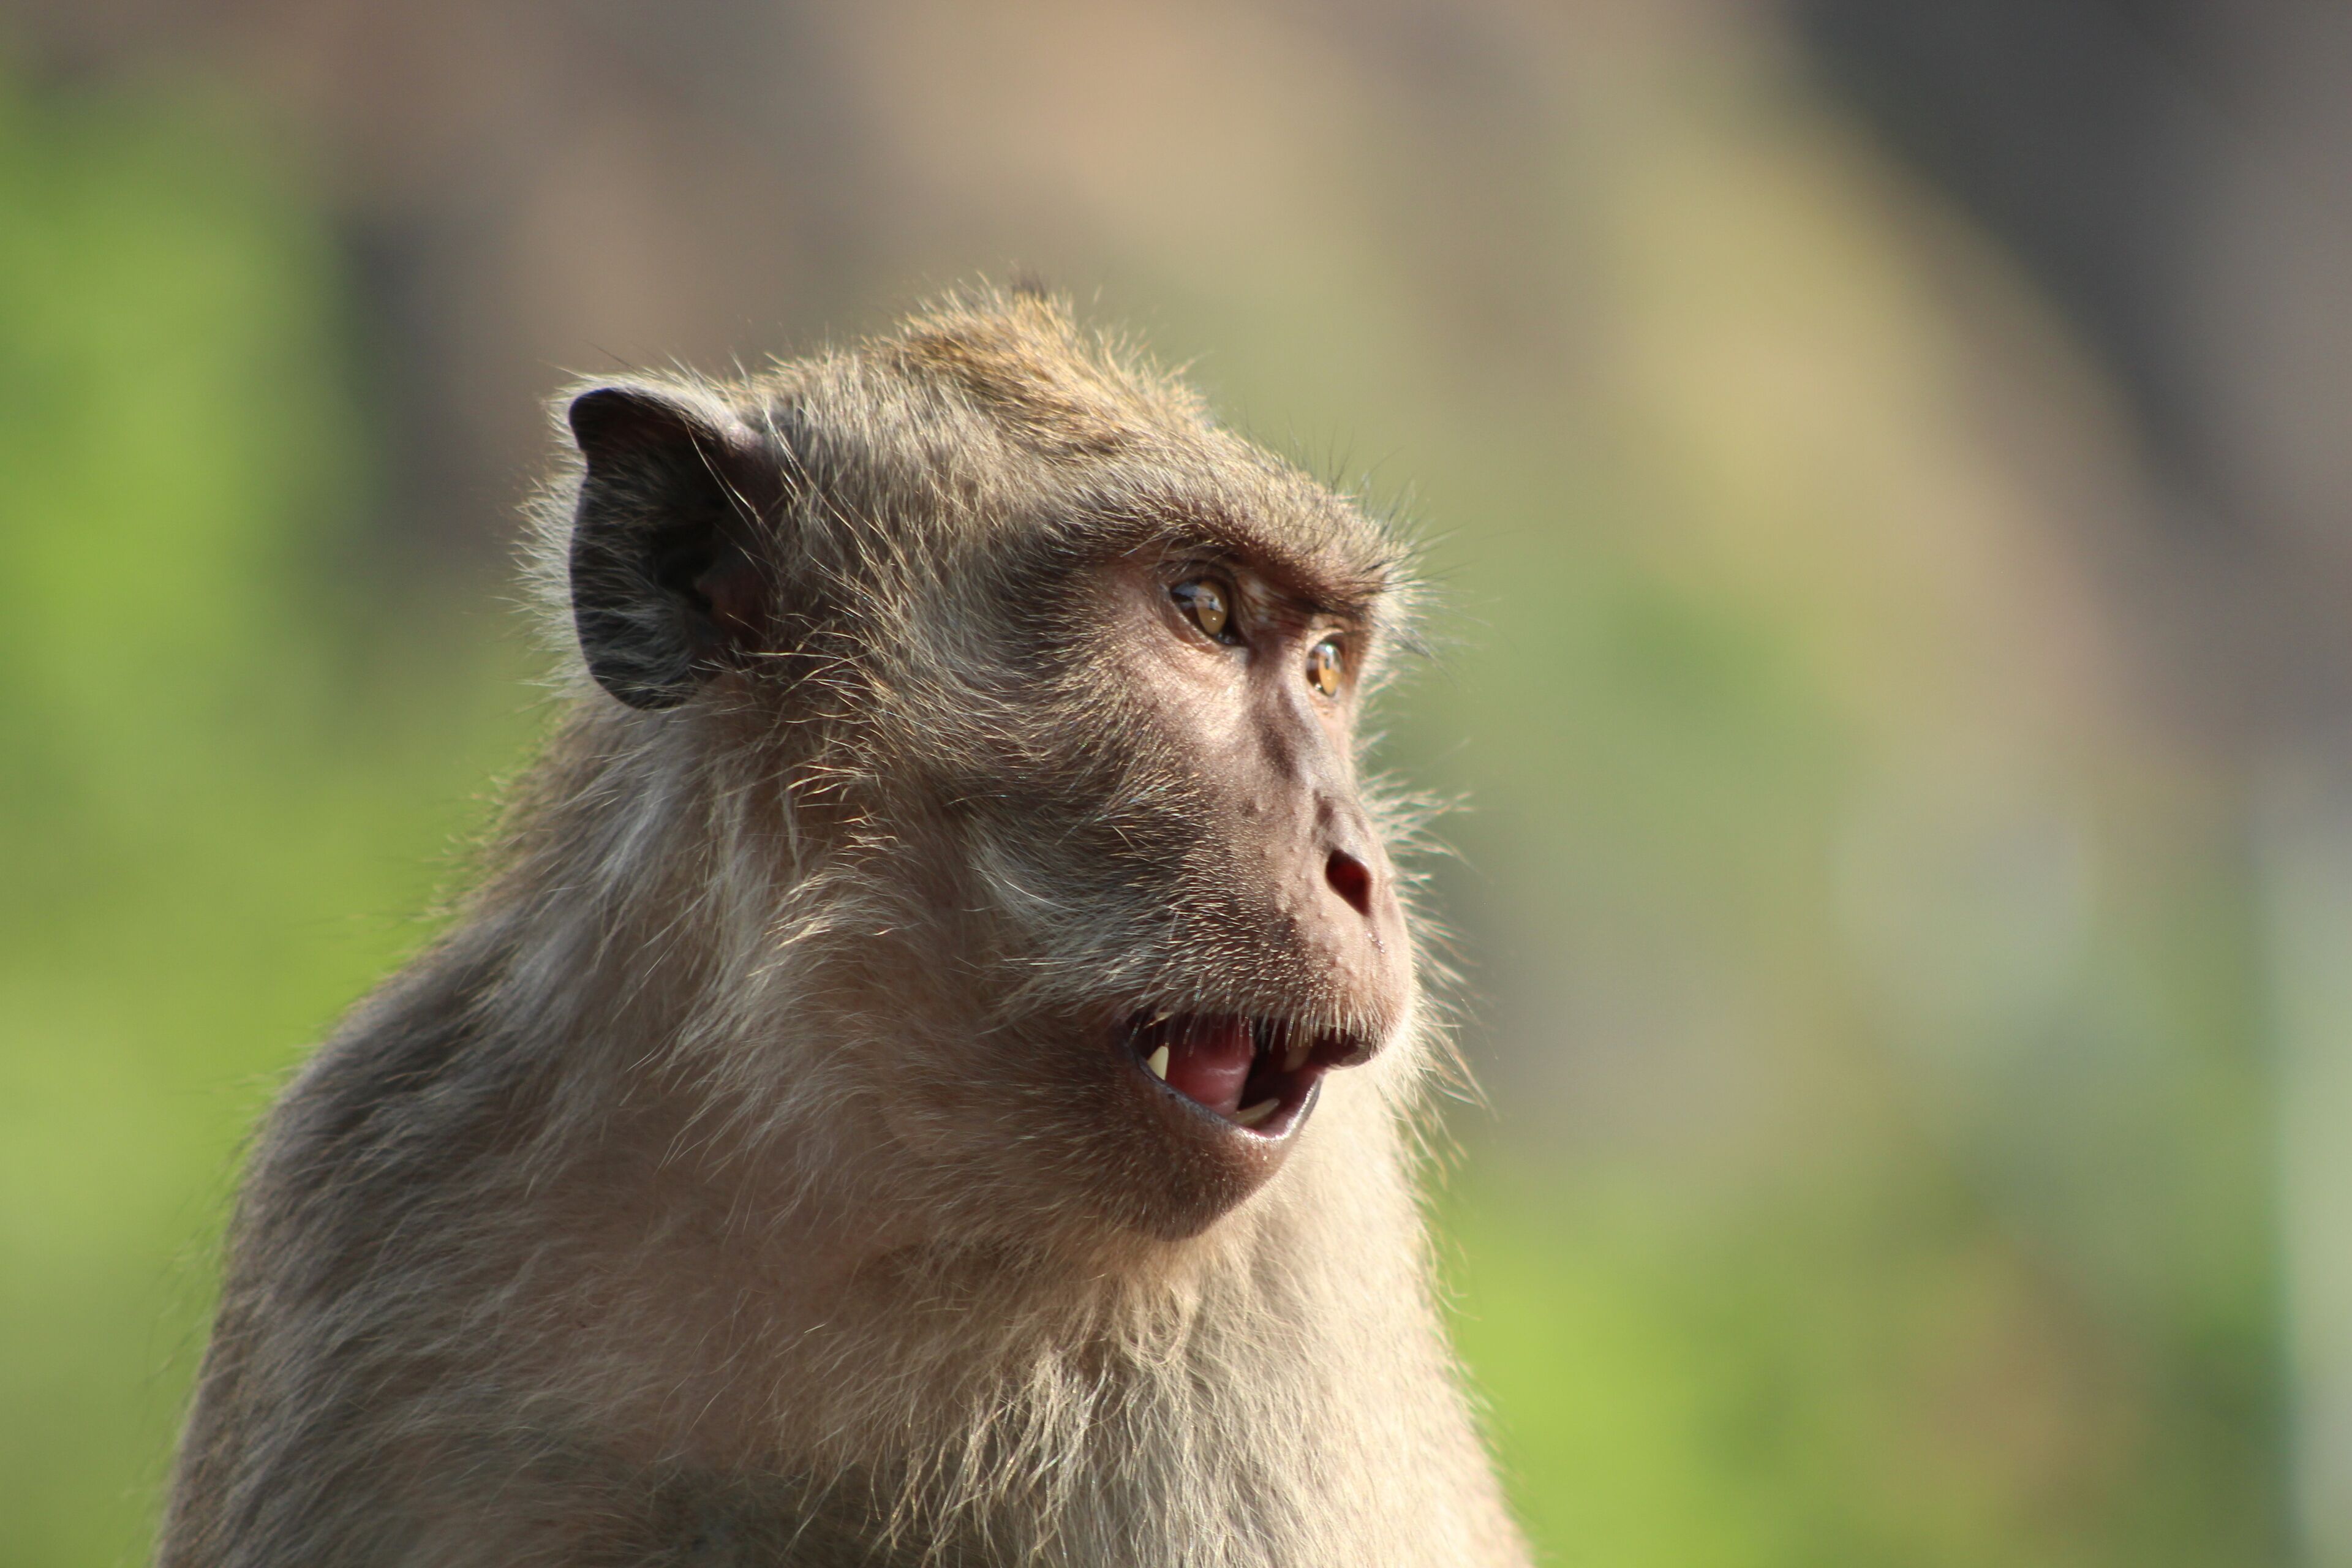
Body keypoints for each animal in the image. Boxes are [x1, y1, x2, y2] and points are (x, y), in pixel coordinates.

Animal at [156, 288, 1532, 1567]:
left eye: (1323, 666)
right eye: (1202, 608)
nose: (1358, 866)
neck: (870, 1189)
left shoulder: (1276, 1333)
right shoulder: (368, 1189)